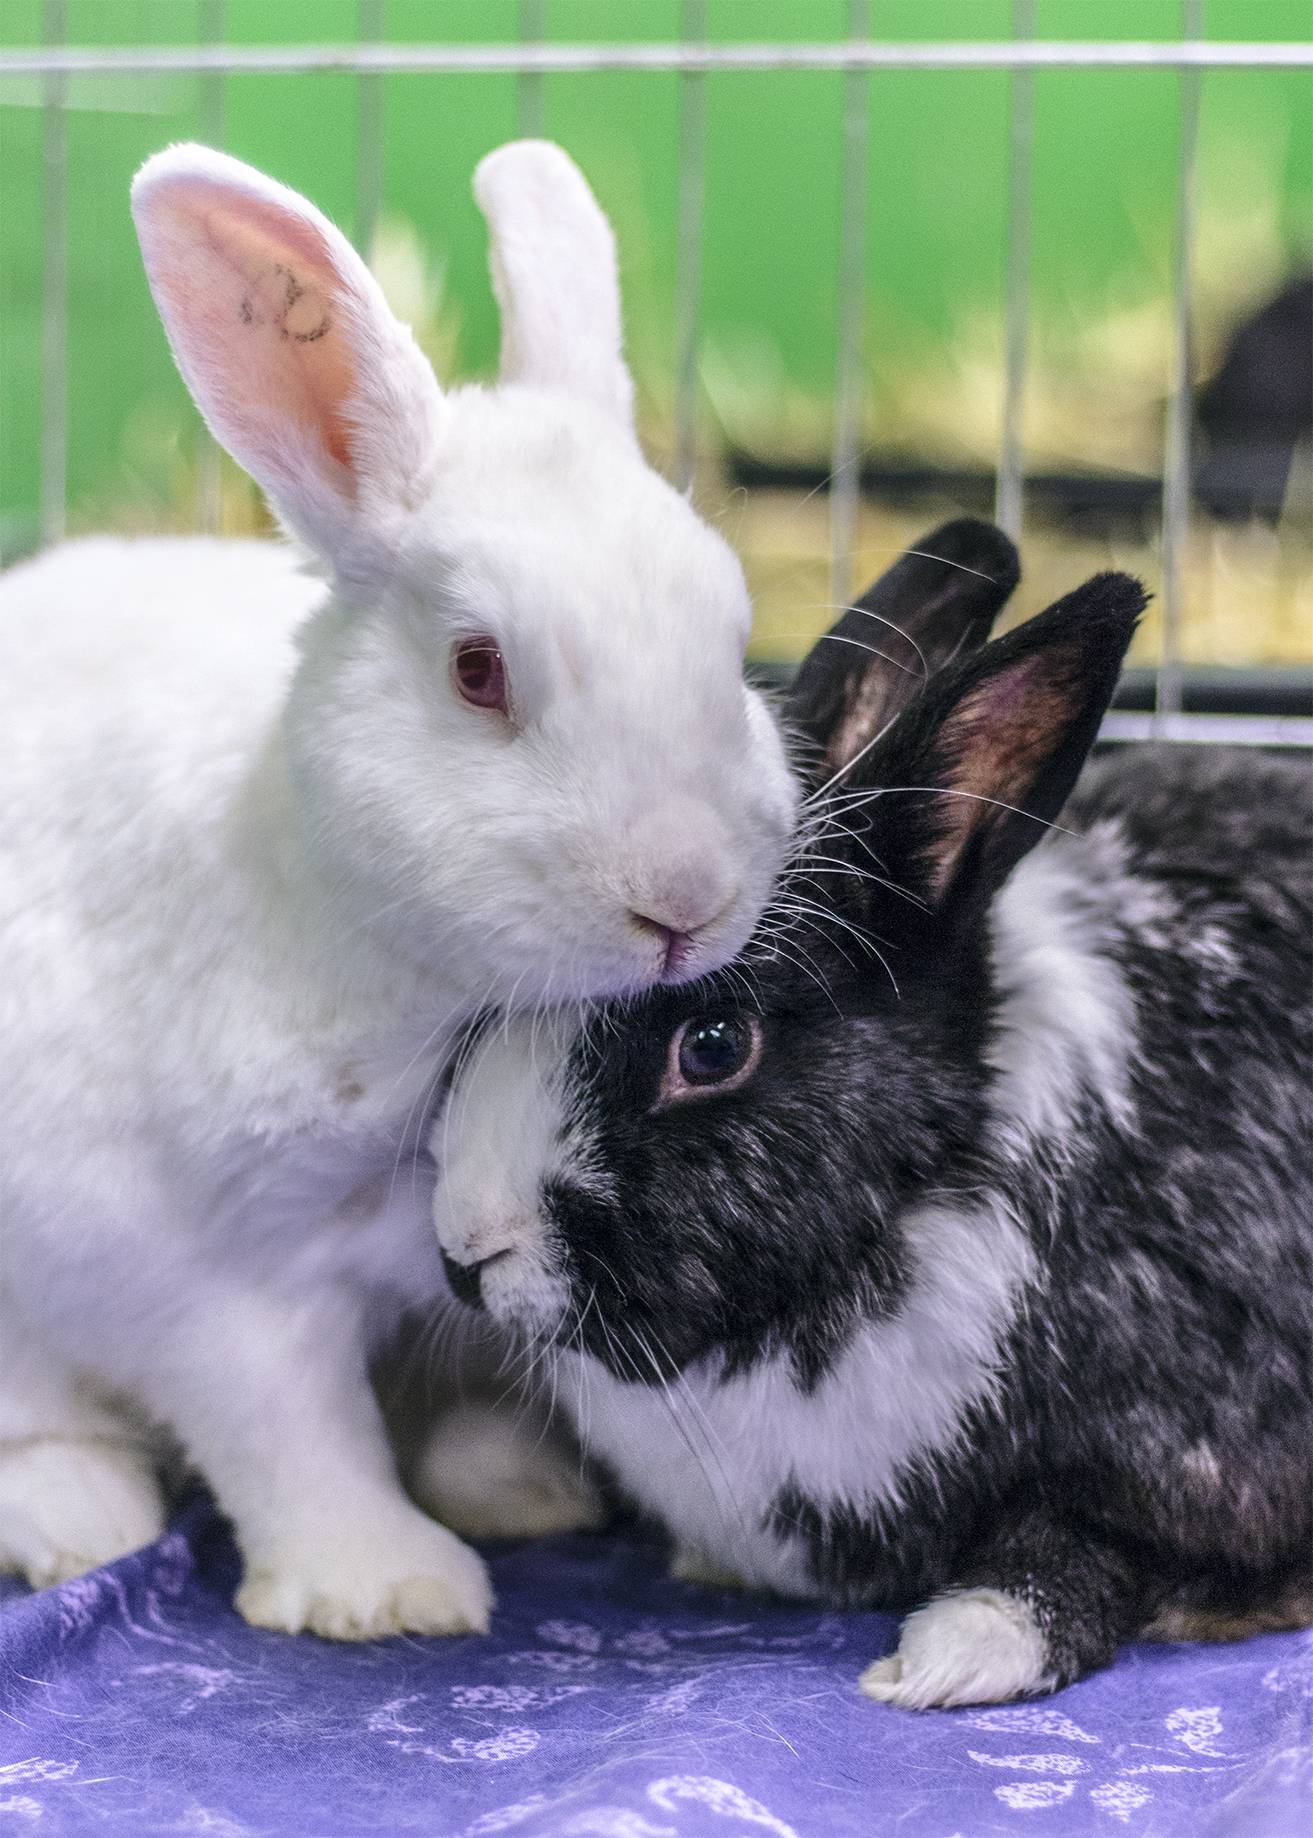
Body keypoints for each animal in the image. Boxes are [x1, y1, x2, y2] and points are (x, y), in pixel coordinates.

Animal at [0, 139, 797, 1640]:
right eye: (478, 671)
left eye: (733, 638)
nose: (686, 898)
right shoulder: (210, 1272)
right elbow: (290, 1433)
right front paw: (391, 1588)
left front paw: (520, 1485)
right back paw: (78, 1518)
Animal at [431, 520, 1312, 1707]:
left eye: (713, 1046)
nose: (467, 1247)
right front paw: (487, 1481)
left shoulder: (1215, 1460)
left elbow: (1088, 1543)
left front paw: (948, 1656)